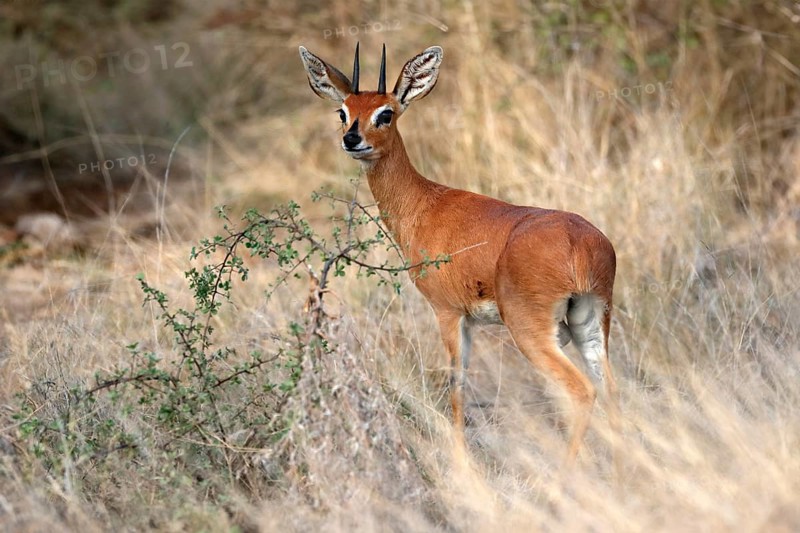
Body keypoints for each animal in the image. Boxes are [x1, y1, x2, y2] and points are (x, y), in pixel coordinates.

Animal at [299, 43, 619, 463]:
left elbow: (457, 386)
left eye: (386, 113)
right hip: (590, 320)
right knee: (612, 389)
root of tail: (579, 242)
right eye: (343, 111)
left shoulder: (449, 313)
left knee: (581, 390)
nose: (352, 139)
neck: (424, 204)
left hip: (532, 331)